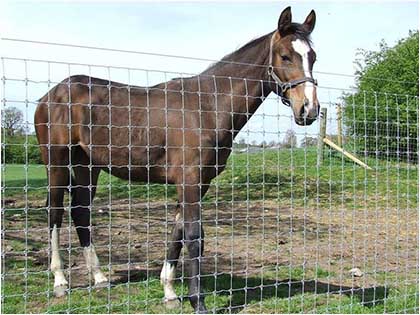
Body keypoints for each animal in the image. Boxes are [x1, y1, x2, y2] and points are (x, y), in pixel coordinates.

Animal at [35, 6, 318, 314]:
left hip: (88, 167)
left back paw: (99, 277)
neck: (207, 106)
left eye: (313, 57)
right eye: (285, 55)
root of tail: (50, 95)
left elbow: (178, 234)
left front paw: (170, 291)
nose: (309, 110)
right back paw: (60, 280)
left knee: (81, 211)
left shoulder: (198, 184)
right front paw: (198, 302)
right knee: (55, 212)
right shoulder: (190, 181)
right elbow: (194, 236)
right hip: (56, 162)